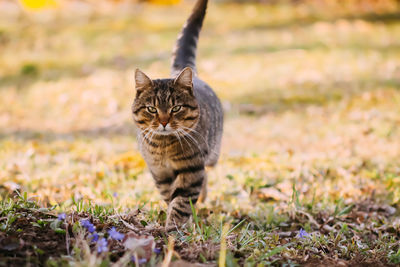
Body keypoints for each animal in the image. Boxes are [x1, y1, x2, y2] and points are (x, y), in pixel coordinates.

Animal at [132, 0, 223, 229]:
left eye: (176, 108)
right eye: (152, 109)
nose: (164, 122)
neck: (164, 147)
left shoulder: (192, 168)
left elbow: (181, 201)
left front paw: (174, 227)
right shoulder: (159, 172)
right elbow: (170, 195)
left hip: (212, 156)